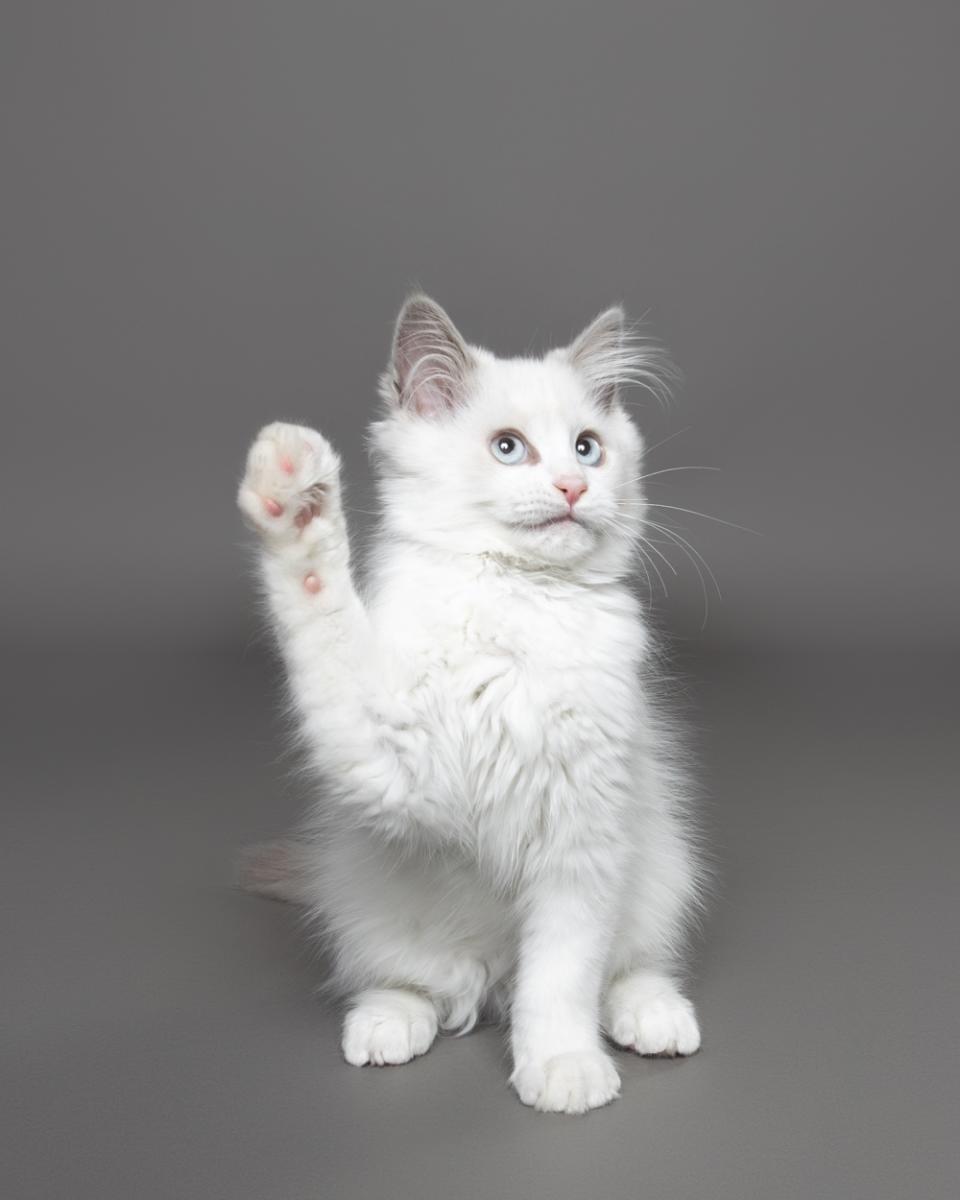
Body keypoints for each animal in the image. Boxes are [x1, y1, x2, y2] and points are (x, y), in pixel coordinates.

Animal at [237, 292, 705, 1113]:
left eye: (587, 448)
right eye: (509, 449)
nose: (574, 487)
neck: (516, 604)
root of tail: (490, 976)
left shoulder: (583, 836)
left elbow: (562, 978)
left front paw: (561, 1066)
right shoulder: (389, 765)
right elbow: (325, 622)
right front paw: (295, 498)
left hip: (659, 869)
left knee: (625, 966)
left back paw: (655, 1016)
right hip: (371, 907)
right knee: (410, 984)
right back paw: (386, 1026)